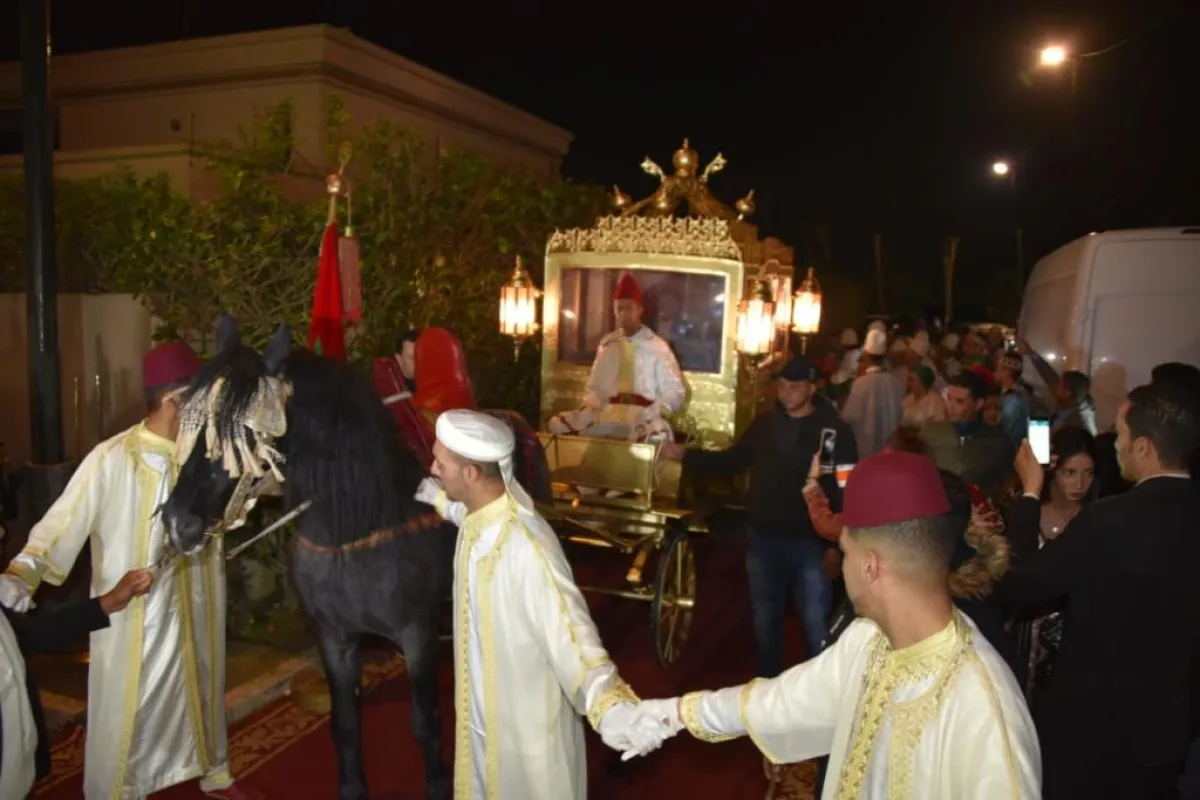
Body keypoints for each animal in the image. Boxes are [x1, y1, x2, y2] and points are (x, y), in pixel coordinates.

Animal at [159, 314, 453, 800]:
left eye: (243, 432)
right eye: (193, 421)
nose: (178, 522)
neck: (356, 536)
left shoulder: (418, 635)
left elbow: (426, 724)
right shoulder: (334, 638)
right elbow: (346, 724)